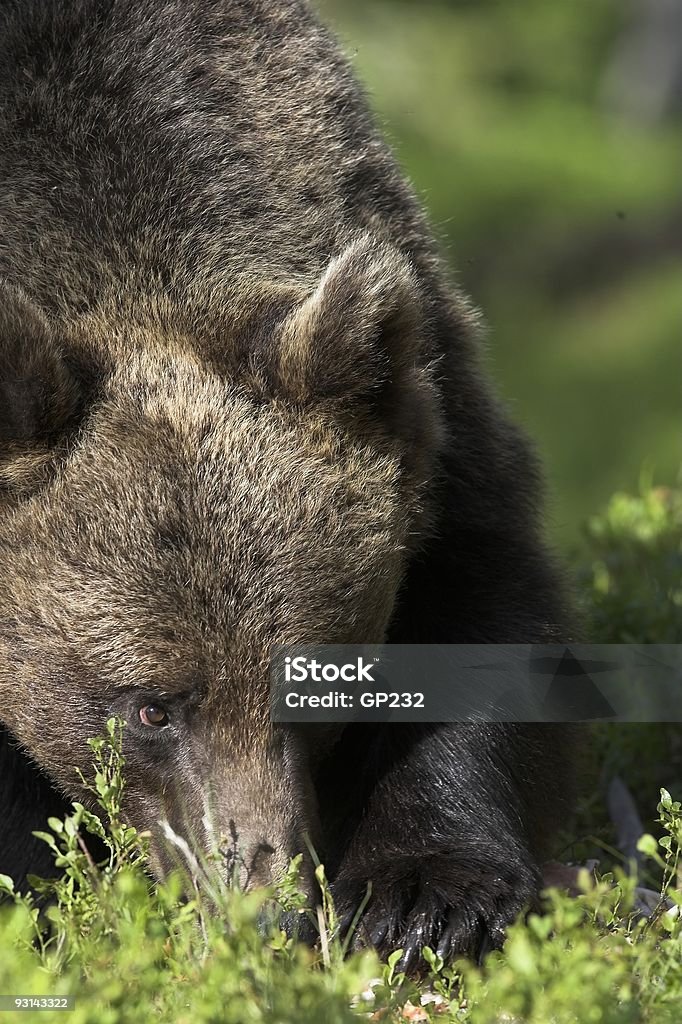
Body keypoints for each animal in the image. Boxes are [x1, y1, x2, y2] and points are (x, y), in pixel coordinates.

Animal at [0, 0, 569, 966]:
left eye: (323, 678)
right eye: (150, 709)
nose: (265, 913)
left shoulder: (430, 413)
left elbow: (480, 596)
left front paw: (423, 896)